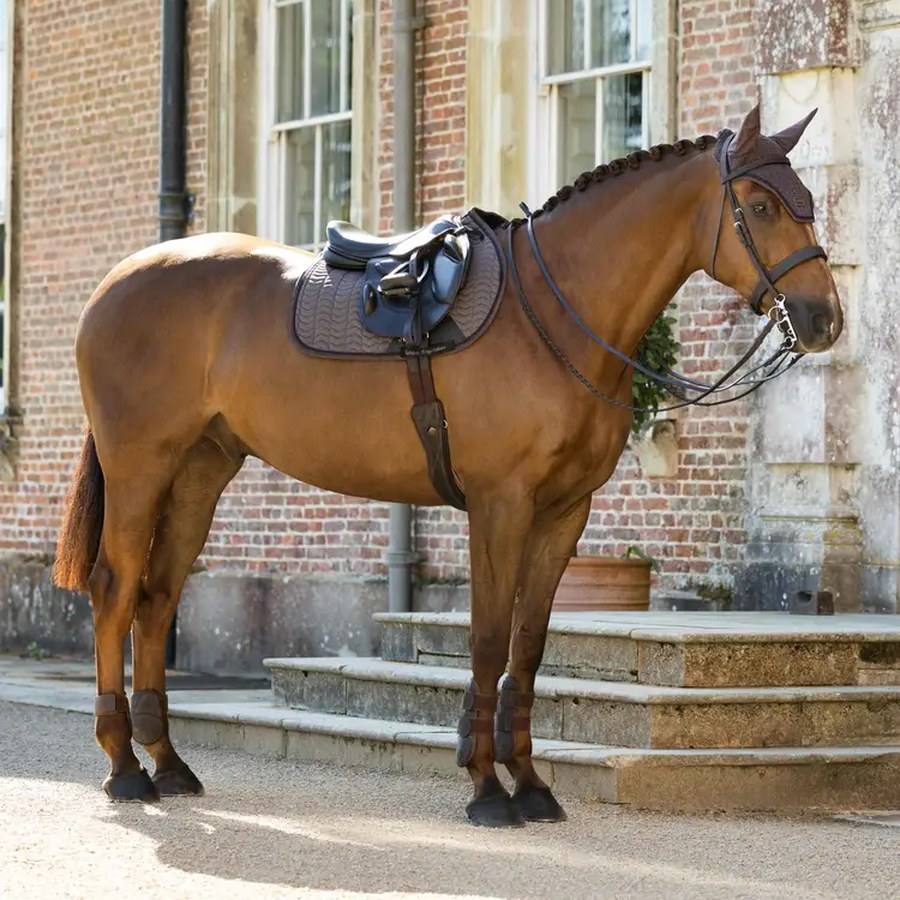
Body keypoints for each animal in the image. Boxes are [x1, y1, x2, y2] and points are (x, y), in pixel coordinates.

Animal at [53, 105, 842, 827]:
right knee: (115, 590)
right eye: (763, 206)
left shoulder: (565, 512)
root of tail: (117, 281)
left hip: (200, 471)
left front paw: (531, 785)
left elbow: (528, 646)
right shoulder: (501, 503)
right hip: (140, 466)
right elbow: (489, 639)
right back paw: (124, 768)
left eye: (807, 201)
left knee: (157, 599)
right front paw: (487, 787)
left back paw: (168, 763)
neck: (551, 314)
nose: (824, 318)